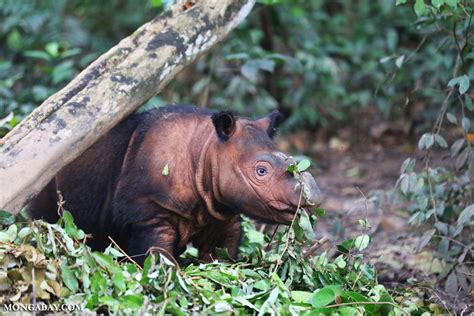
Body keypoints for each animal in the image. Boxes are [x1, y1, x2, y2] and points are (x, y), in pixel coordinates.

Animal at [27, 105, 320, 262]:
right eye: (261, 171)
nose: (313, 196)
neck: (205, 153)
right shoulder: (148, 213)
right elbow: (157, 259)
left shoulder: (221, 211)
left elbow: (219, 257)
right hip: (44, 178)